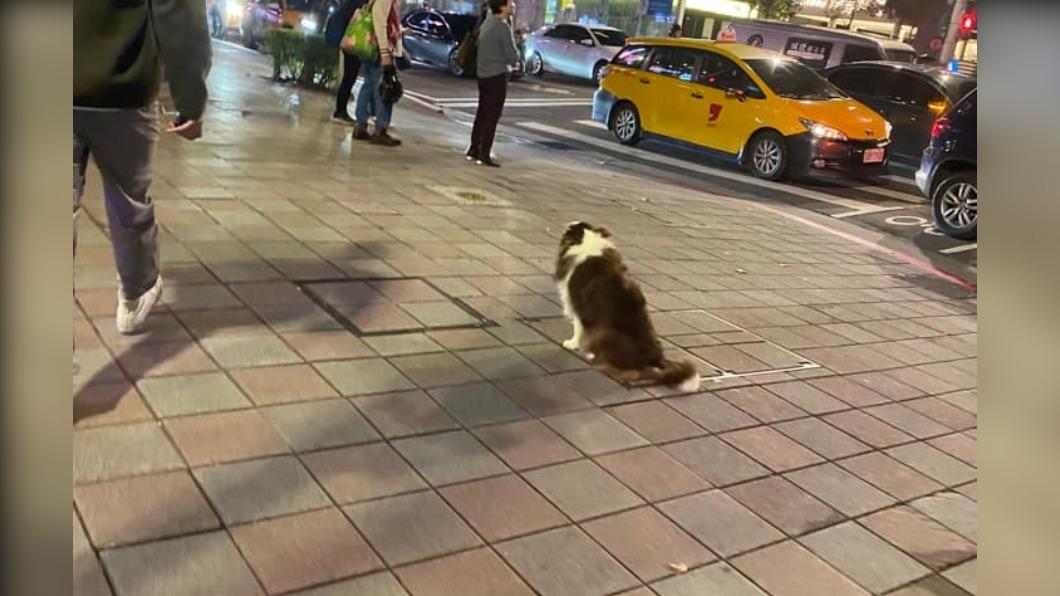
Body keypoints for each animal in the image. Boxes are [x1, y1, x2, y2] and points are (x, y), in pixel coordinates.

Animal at [559, 220, 699, 392]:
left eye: (569, 229)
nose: (566, 224)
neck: (588, 243)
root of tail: (656, 358)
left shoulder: (579, 305)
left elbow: (578, 329)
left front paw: (572, 344)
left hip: (607, 334)